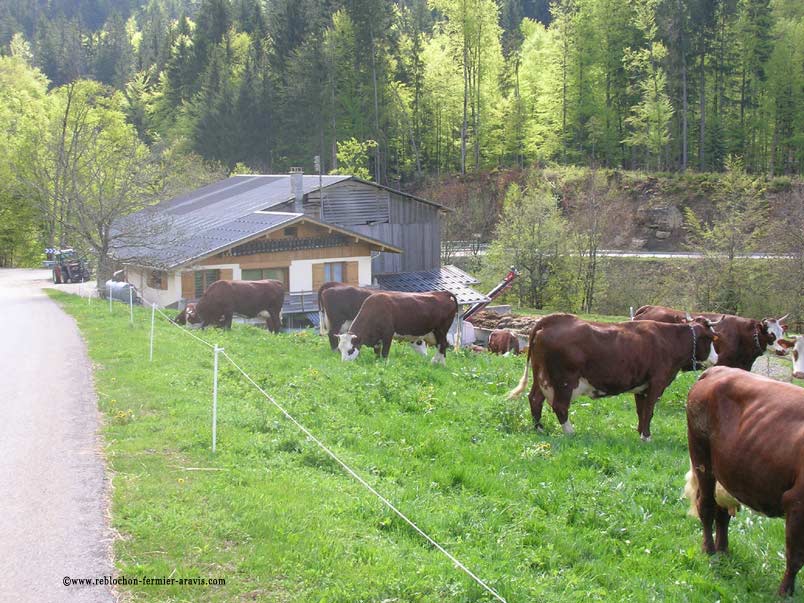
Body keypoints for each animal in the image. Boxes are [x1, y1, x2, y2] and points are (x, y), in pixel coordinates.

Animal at [506, 316, 720, 438]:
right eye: (710, 339)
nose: (717, 358)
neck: (668, 340)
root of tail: (550, 320)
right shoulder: (657, 383)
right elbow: (649, 411)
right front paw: (646, 437)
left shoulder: (641, 388)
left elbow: (641, 412)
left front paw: (640, 434)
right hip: (564, 381)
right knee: (559, 406)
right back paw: (570, 433)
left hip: (542, 377)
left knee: (535, 399)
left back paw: (539, 428)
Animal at [684, 366, 804, 596]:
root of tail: (718, 370)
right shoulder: (796, 502)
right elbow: (795, 557)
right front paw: (784, 593)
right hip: (701, 457)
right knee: (707, 507)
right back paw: (710, 551)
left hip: (727, 471)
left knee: (722, 513)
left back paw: (724, 551)